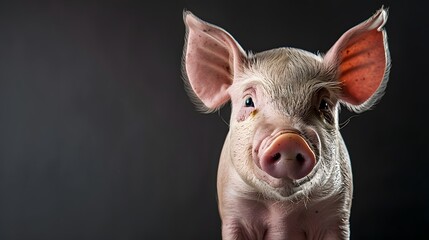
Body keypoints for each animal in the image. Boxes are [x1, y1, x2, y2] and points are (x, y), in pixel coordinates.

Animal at [181, 7, 388, 240]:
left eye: (324, 104)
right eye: (248, 101)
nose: (288, 139)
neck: (282, 210)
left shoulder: (338, 212)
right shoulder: (233, 210)